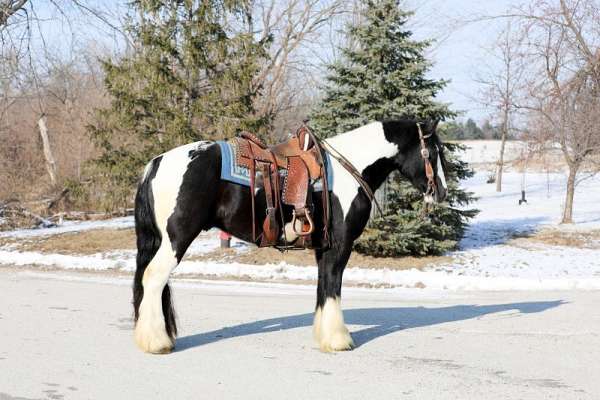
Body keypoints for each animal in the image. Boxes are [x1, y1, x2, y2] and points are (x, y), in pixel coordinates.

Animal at [134, 119, 448, 354]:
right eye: (433, 152)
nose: (442, 192)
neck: (350, 169)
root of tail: (157, 162)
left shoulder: (324, 247)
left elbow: (323, 288)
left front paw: (325, 336)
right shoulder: (340, 246)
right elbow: (333, 286)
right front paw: (338, 340)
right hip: (177, 239)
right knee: (154, 278)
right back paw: (156, 342)